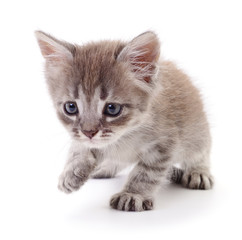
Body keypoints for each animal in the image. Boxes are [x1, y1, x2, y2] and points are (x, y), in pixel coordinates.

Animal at [35, 30, 213, 212]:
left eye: (112, 108)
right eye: (71, 107)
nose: (89, 132)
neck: (124, 137)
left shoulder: (163, 145)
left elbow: (146, 173)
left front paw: (133, 194)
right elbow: (79, 147)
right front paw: (72, 171)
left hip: (198, 134)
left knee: (201, 153)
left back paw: (199, 172)